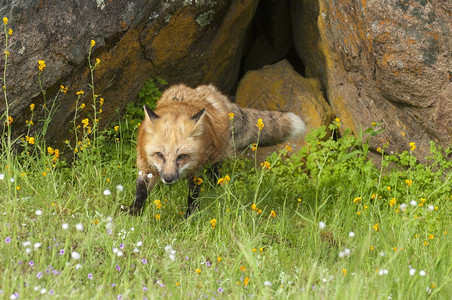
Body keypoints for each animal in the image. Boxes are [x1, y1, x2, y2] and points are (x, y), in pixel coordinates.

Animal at [131, 83, 308, 217]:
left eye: (182, 156)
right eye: (159, 155)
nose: (168, 179)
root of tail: (218, 95)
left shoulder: (196, 171)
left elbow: (193, 198)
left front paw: (189, 218)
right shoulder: (145, 166)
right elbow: (141, 192)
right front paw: (133, 213)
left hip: (217, 158)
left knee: (215, 174)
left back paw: (214, 191)